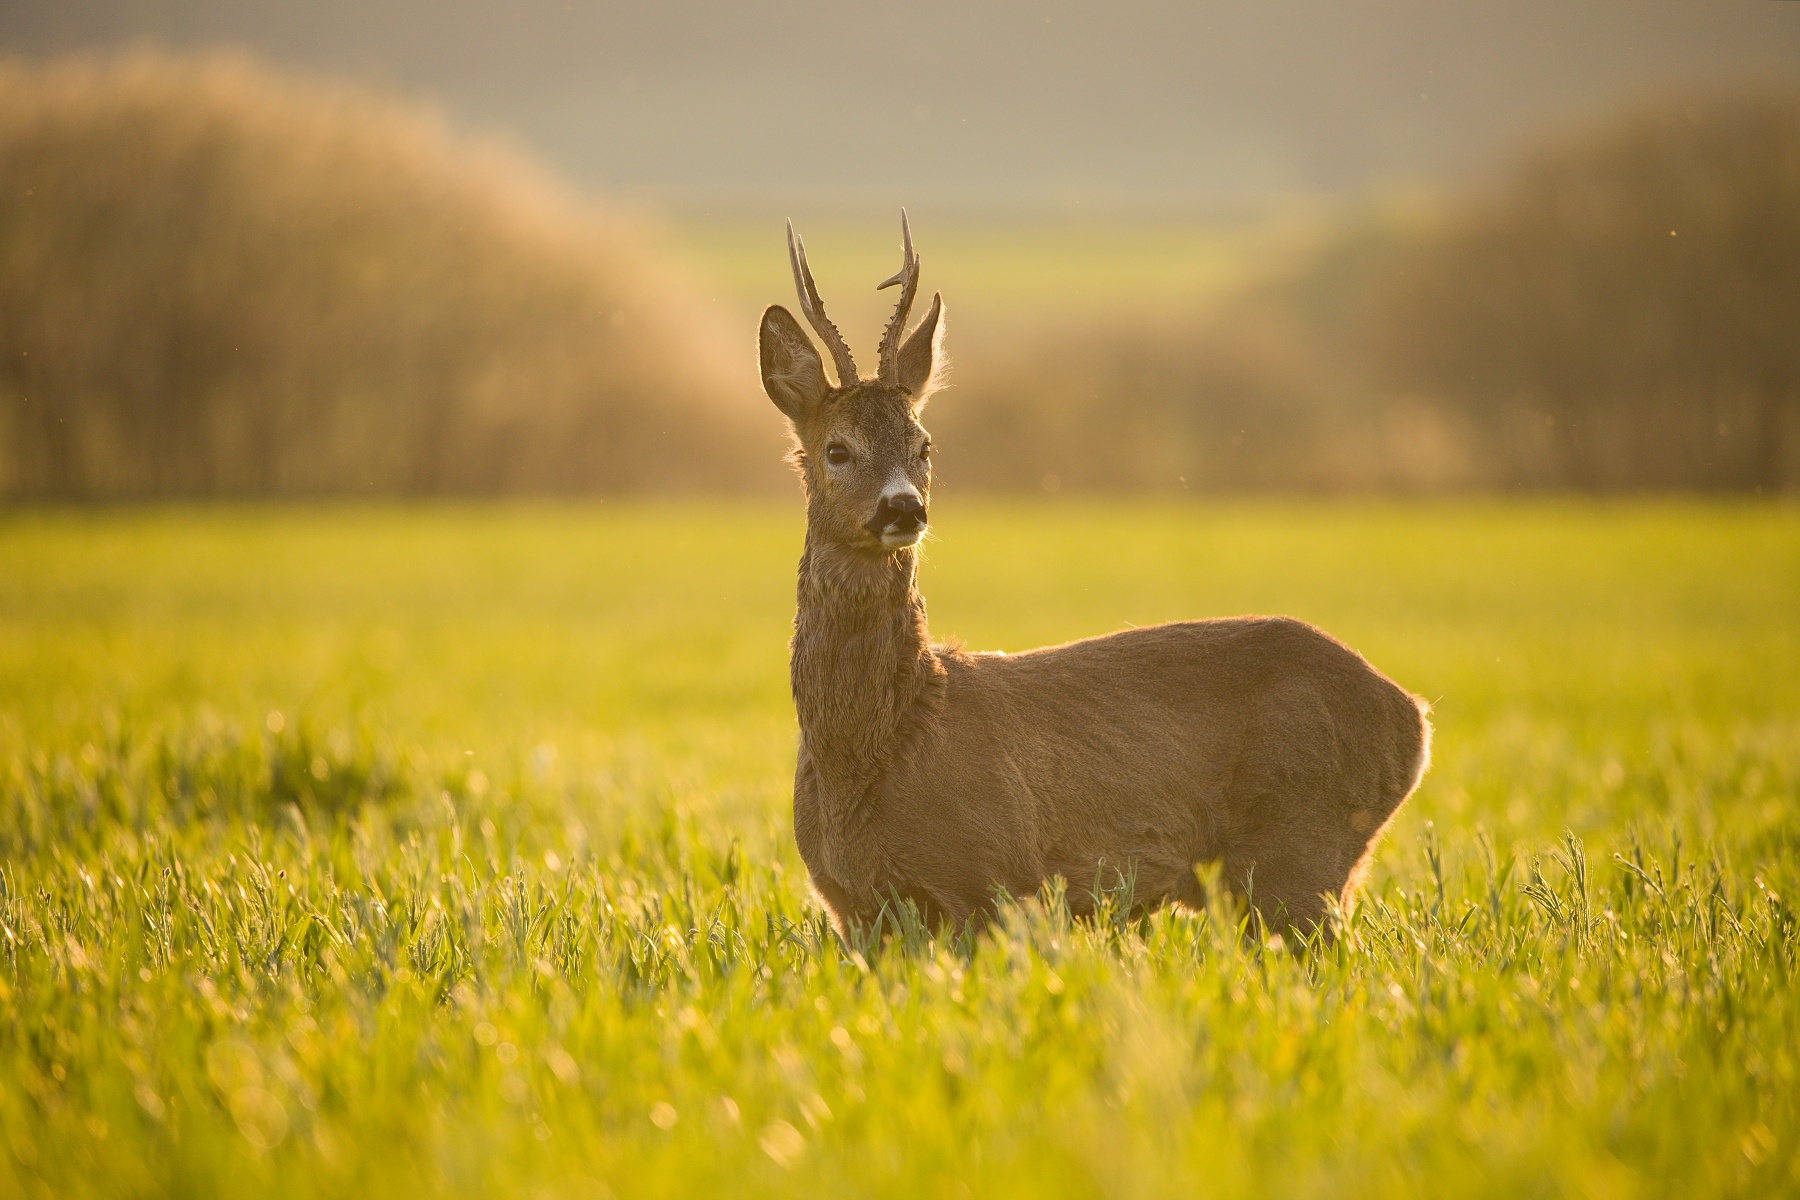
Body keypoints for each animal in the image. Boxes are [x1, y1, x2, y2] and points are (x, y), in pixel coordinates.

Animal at [763, 211, 1432, 935]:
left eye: (925, 446)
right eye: (837, 449)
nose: (904, 507)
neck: (883, 746)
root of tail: (1412, 715)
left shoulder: (995, 880)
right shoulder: (855, 911)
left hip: (1300, 852)